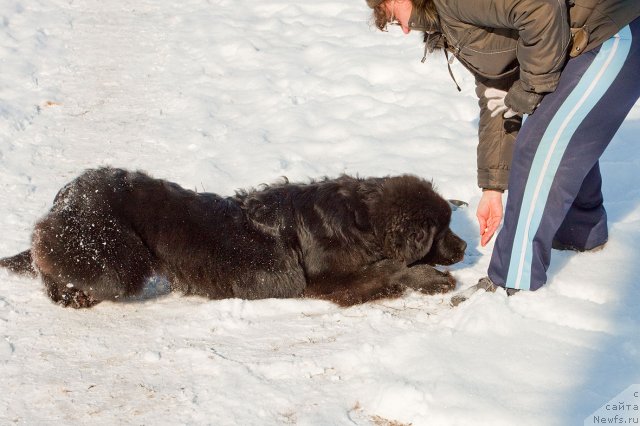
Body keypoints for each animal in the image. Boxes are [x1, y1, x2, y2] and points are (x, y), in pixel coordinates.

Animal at [0, 167, 464, 310]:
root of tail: (67, 192)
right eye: (442, 230)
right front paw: (431, 279)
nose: (462, 248)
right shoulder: (323, 283)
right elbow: (391, 267)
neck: (359, 219)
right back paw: (67, 294)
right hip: (116, 258)